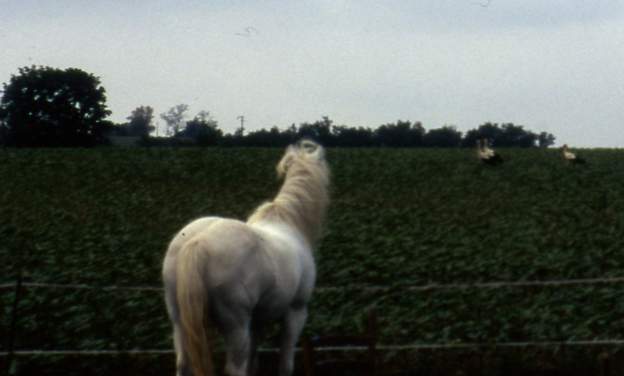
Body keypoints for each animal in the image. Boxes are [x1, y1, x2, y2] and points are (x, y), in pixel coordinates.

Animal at [162, 141, 332, 376]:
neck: (289, 223)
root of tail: (199, 241)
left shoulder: (257, 320)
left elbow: (254, 358)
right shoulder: (296, 312)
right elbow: (285, 363)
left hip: (179, 320)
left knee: (183, 363)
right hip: (236, 323)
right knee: (235, 367)